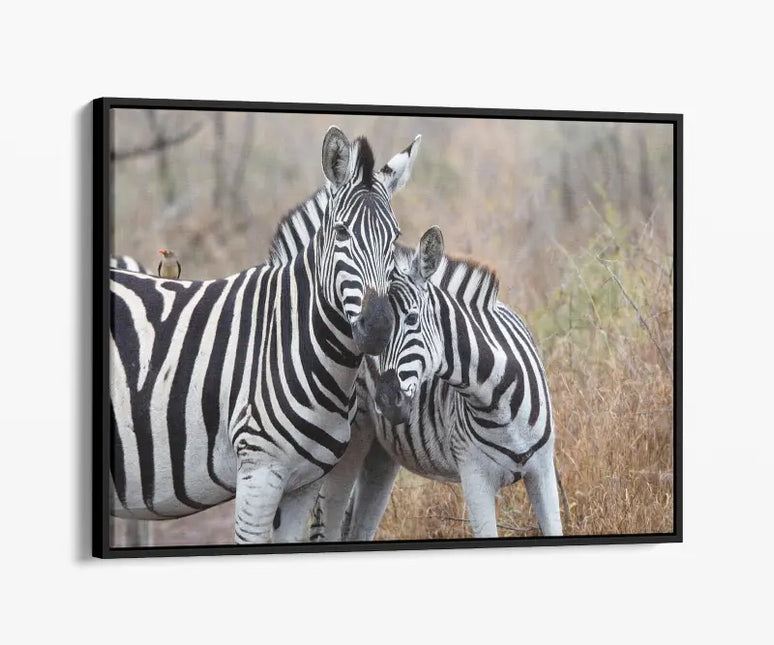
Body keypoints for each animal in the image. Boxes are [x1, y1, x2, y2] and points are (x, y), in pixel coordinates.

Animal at [109, 126, 421, 544]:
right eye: (341, 232)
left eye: (395, 236)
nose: (378, 327)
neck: (292, 340)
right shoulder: (259, 474)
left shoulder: (304, 483)